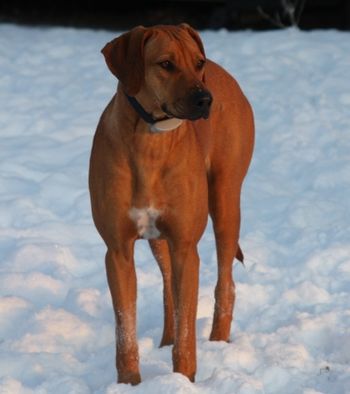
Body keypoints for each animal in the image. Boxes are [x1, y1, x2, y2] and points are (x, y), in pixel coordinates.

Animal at [89, 23, 254, 384]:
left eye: (197, 62)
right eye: (166, 64)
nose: (205, 99)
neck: (150, 139)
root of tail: (226, 76)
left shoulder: (185, 247)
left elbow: (187, 327)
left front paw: (184, 380)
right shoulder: (117, 251)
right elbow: (125, 329)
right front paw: (129, 383)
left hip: (225, 202)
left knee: (225, 284)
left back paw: (218, 341)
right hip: (159, 238)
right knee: (168, 288)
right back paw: (166, 339)